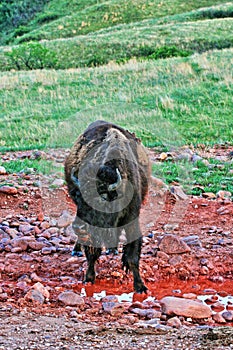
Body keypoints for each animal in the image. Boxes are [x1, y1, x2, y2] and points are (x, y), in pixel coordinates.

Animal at [64, 120, 150, 292]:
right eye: (78, 197)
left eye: (102, 199)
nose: (79, 227)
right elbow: (92, 253)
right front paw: (89, 278)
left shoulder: (132, 218)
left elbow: (132, 256)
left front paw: (140, 286)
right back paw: (76, 250)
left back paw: (112, 249)